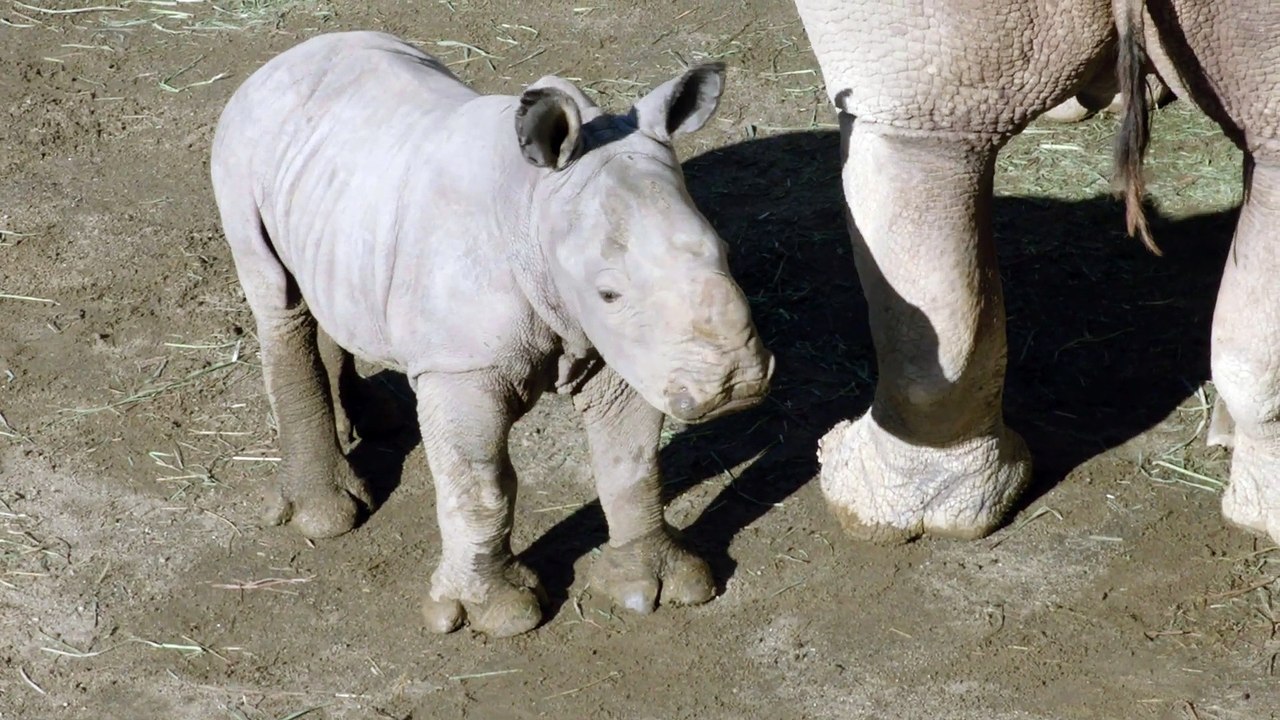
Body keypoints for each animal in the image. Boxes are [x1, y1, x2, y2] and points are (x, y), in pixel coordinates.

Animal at [209, 30, 774, 637]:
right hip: (240, 146)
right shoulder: (464, 366)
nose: (735, 386)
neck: (536, 210)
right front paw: (499, 616)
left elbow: (632, 461)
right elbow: (481, 485)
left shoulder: (630, 349)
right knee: (278, 299)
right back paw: (329, 518)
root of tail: (279, 62)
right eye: (608, 293)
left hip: (336, 191)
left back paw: (379, 420)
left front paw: (659, 587)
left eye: (727, 254)